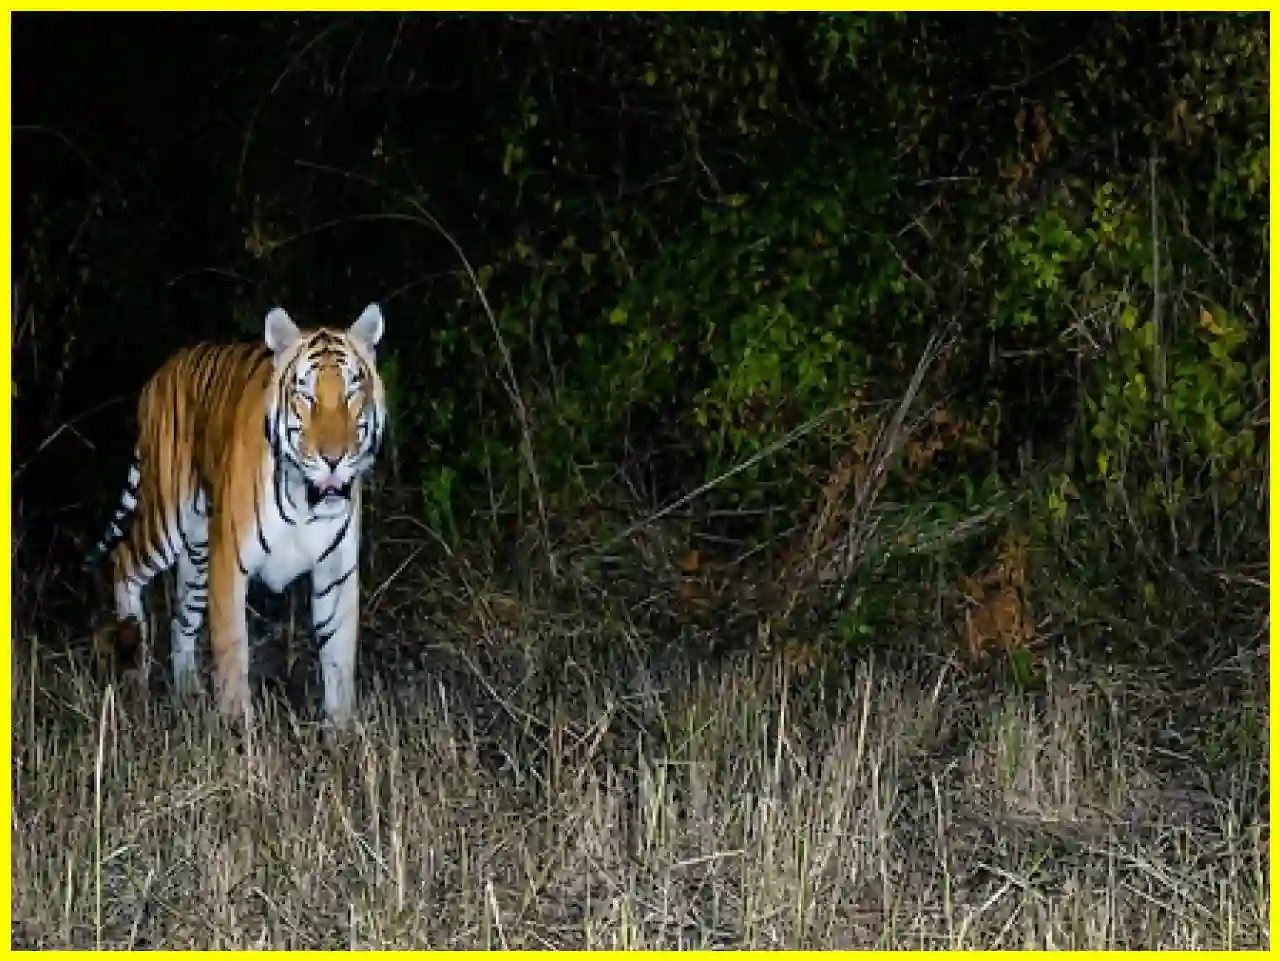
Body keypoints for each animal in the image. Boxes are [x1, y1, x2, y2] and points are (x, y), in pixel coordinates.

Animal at [84, 302, 387, 729]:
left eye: (351, 391)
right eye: (306, 395)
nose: (334, 458)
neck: (306, 501)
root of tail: (162, 371)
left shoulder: (337, 572)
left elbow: (339, 657)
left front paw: (341, 733)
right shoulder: (229, 560)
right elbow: (232, 649)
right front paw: (235, 728)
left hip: (197, 552)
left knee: (182, 618)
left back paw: (187, 691)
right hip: (167, 520)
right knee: (123, 559)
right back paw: (135, 667)